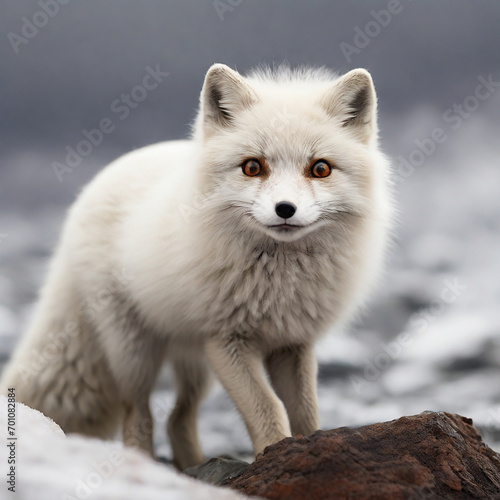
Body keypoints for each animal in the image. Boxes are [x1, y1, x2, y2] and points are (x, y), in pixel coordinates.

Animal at [0, 63, 390, 468]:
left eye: (320, 169)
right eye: (253, 167)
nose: (285, 209)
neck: (279, 283)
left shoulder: (292, 343)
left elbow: (306, 413)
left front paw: (307, 450)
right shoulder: (226, 340)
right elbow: (269, 408)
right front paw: (275, 452)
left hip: (195, 363)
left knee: (179, 418)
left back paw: (192, 468)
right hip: (136, 354)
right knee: (138, 415)